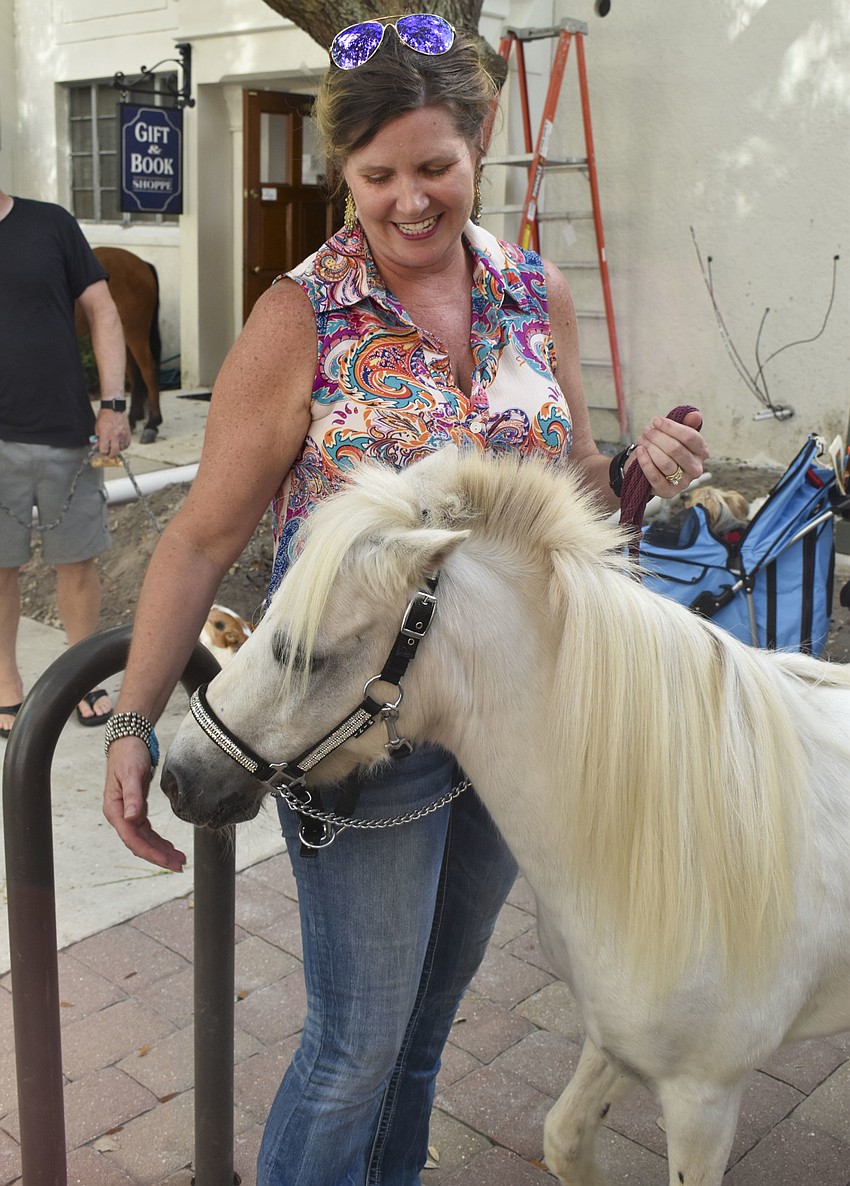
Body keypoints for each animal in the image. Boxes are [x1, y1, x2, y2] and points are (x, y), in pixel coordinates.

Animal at [75, 246, 163, 442]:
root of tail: (142, 263)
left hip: (135, 331)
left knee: (148, 371)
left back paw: (152, 424)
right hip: (122, 335)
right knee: (135, 375)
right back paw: (130, 421)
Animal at [161, 448, 850, 1186]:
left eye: (303, 655)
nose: (177, 777)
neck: (686, 837)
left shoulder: (704, 1097)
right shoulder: (613, 1041)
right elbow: (565, 1138)